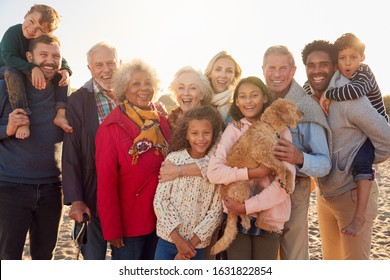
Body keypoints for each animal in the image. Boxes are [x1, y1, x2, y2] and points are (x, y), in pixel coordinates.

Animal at [210, 98, 304, 256]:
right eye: (293, 108)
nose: (302, 113)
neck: (269, 126)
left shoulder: (276, 158)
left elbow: (288, 170)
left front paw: (289, 185)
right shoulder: (262, 154)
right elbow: (282, 167)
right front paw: (283, 178)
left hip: (264, 197)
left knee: (258, 217)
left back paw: (269, 226)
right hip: (241, 188)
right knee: (241, 210)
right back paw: (246, 221)